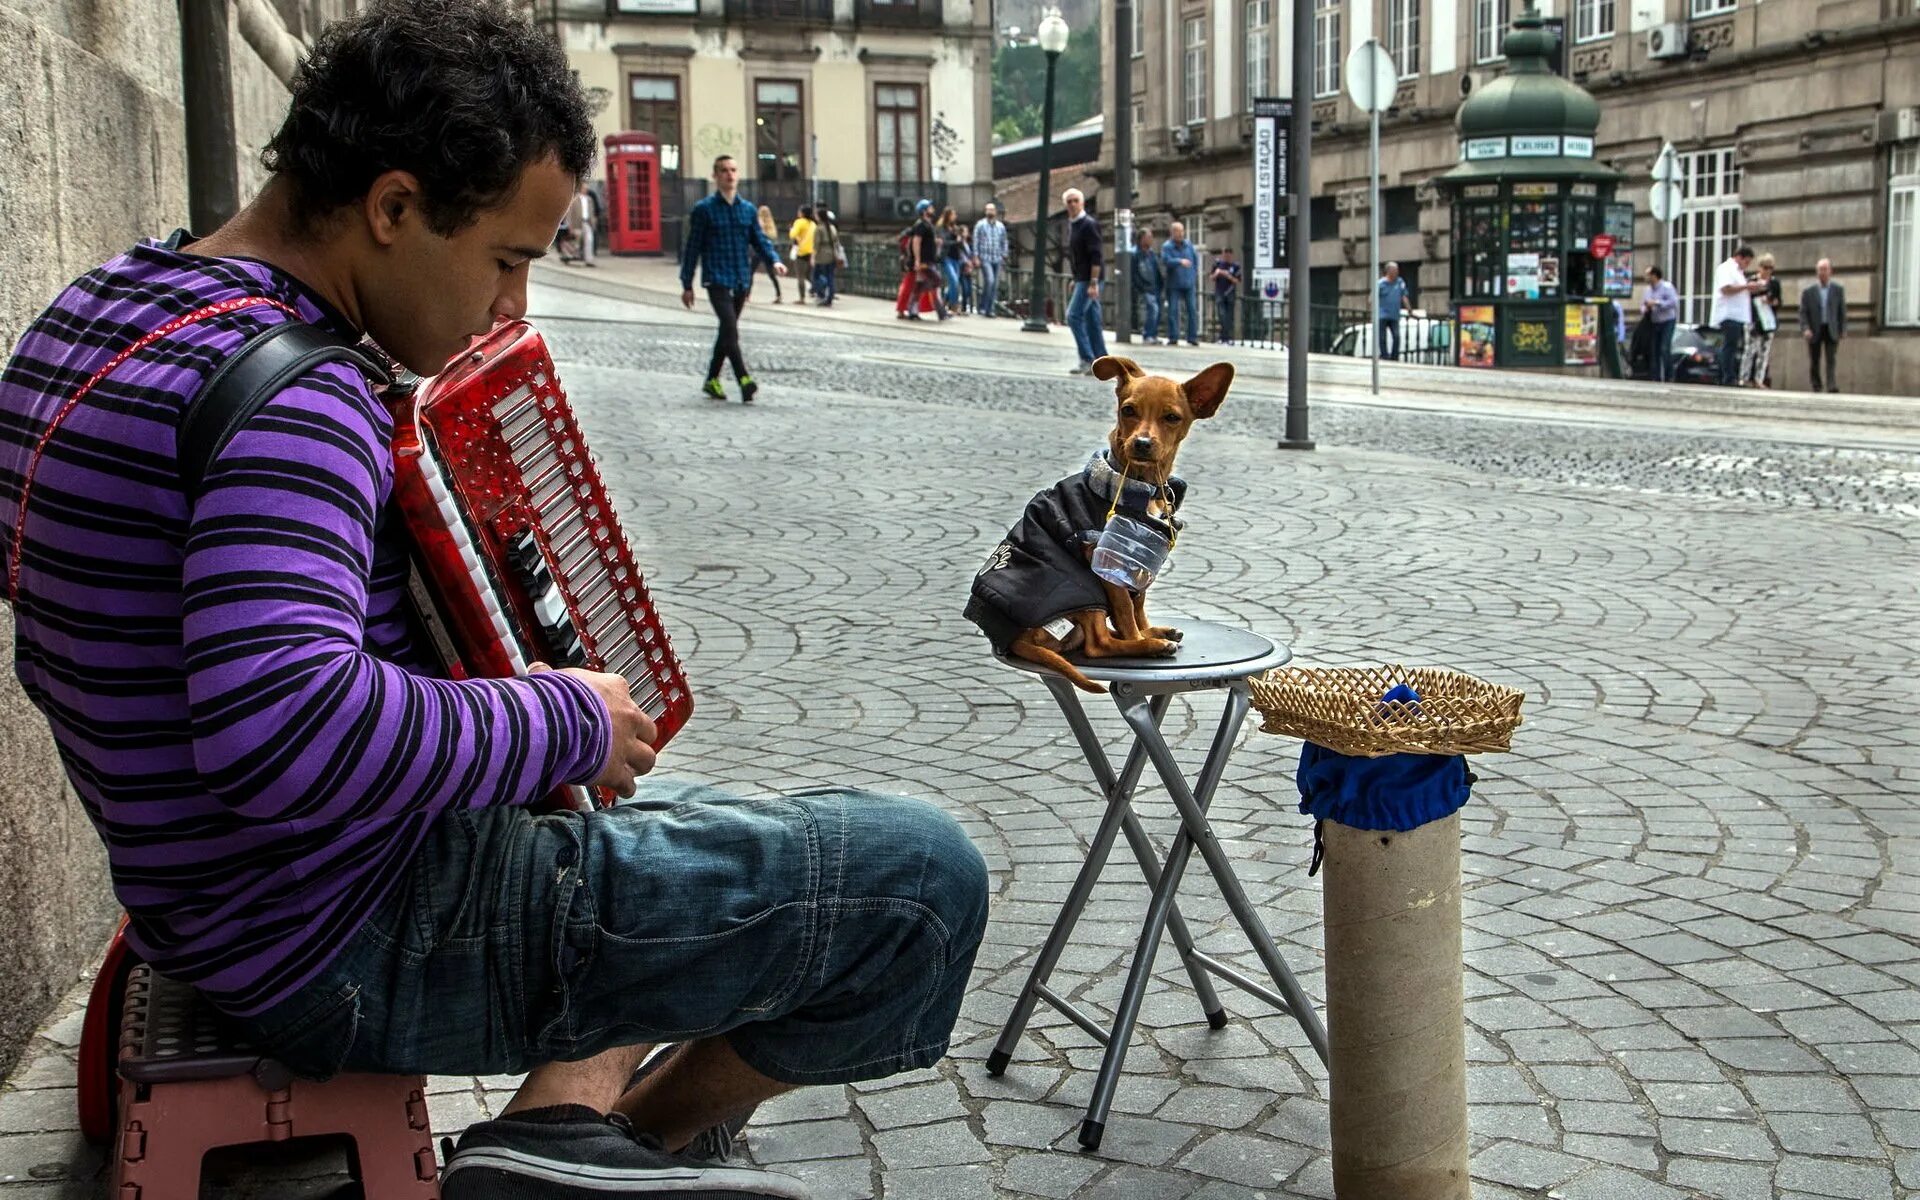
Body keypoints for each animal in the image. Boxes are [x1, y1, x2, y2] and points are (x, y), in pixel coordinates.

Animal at [967, 353, 1236, 691]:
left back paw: (1154, 634)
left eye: (1172, 417)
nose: (1142, 443)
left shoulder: (1139, 566)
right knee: (1098, 644)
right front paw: (1141, 639)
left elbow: (1138, 605)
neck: (1140, 482)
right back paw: (1149, 645)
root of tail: (1014, 640)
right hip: (1086, 590)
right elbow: (1126, 611)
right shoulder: (1108, 562)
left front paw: (1146, 629)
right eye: (1128, 410)